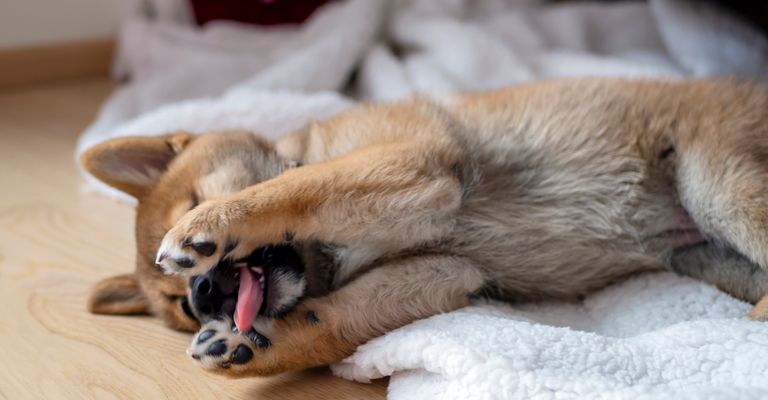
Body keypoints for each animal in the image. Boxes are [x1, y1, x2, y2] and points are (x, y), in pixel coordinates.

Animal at [79, 79, 768, 378]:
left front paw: (215, 223)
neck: (330, 253)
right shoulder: (447, 272)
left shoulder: (414, 164)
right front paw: (254, 347)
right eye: (182, 310)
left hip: (717, 185)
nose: (201, 294)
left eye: (194, 198)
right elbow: (330, 322)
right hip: (702, 252)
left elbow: (297, 187)